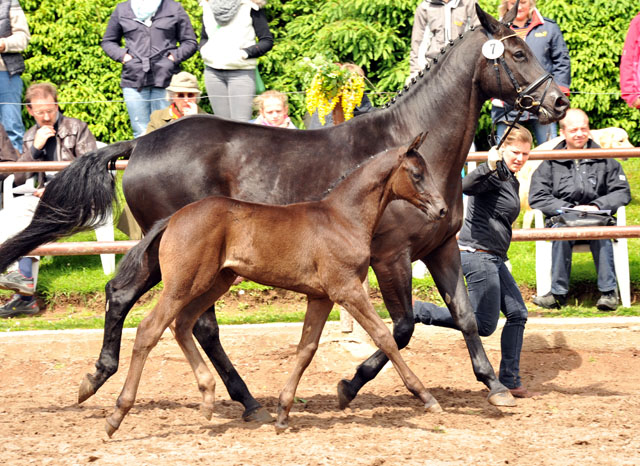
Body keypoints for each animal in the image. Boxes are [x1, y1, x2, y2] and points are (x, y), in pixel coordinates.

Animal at [105, 136, 444, 436]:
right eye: (417, 174)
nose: (441, 210)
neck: (343, 219)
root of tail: (173, 219)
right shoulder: (346, 289)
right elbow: (384, 336)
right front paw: (427, 397)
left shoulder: (320, 297)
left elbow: (306, 349)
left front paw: (283, 412)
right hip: (184, 283)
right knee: (150, 328)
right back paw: (117, 415)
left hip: (215, 282)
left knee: (183, 324)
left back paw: (208, 397)